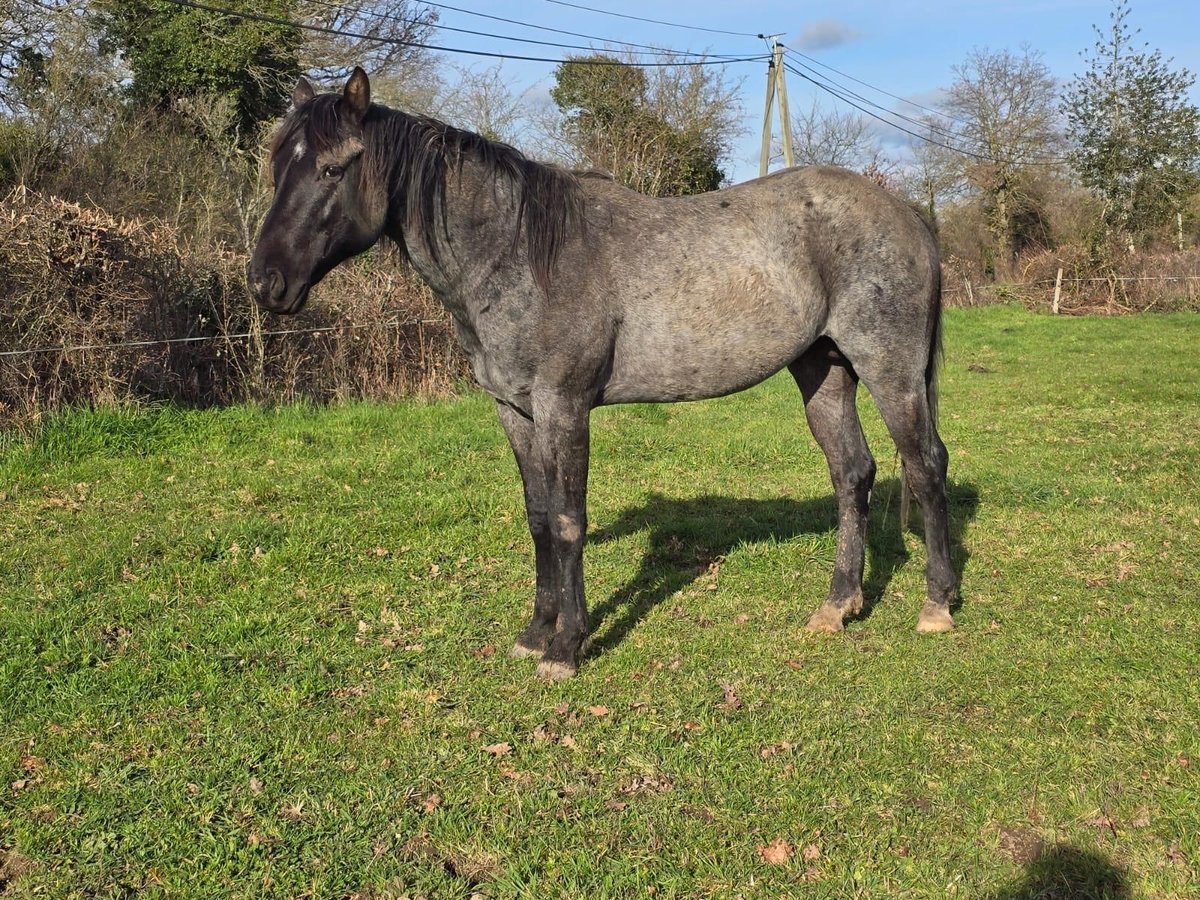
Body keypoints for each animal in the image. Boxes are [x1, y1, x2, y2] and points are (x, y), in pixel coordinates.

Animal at [246, 66, 955, 681]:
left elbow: (568, 521)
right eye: (280, 165)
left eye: (332, 167)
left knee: (925, 466)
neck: (520, 255)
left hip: (889, 369)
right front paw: (535, 633)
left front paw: (566, 647)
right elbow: (538, 517)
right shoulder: (515, 409)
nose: (264, 283)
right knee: (853, 473)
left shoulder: (564, 406)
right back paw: (838, 605)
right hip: (824, 371)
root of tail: (909, 215)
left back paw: (937, 605)